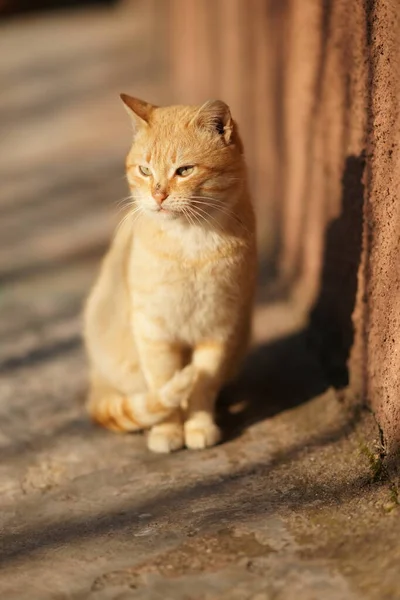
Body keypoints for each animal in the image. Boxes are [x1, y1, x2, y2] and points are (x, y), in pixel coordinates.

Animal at [83, 94, 258, 452]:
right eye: (145, 170)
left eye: (185, 170)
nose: (158, 195)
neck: (192, 244)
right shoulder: (155, 333)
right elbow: (164, 387)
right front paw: (168, 431)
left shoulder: (218, 330)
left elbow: (202, 386)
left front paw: (199, 426)